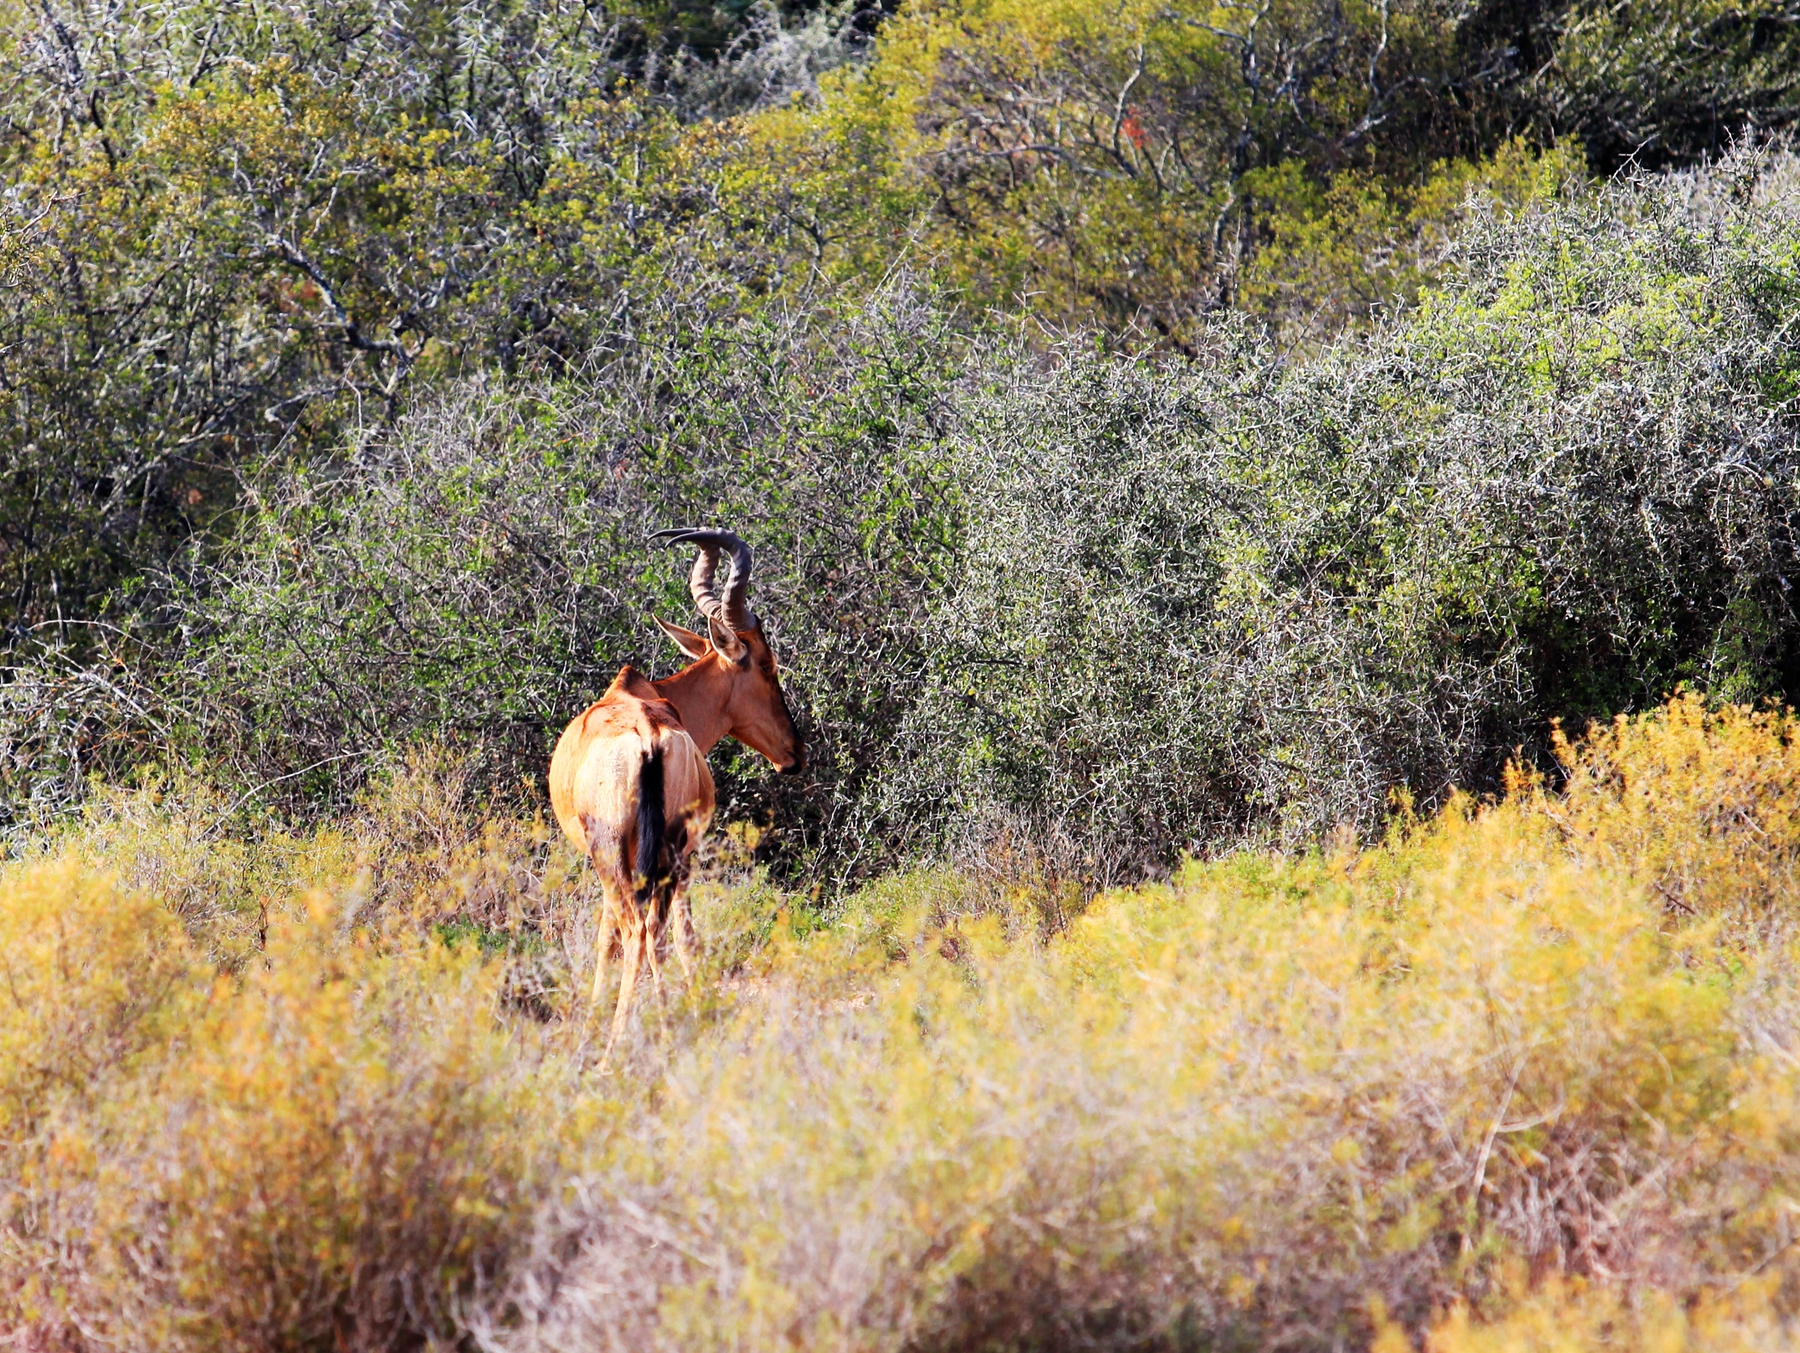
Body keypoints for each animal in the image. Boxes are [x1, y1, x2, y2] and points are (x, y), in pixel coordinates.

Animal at [543, 528, 806, 1043]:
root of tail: (646, 734)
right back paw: (665, 1030)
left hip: (616, 853)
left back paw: (616, 1047)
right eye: (767, 666)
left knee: (637, 930)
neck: (643, 695)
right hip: (669, 851)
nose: (794, 754)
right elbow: (685, 936)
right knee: (659, 931)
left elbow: (607, 936)